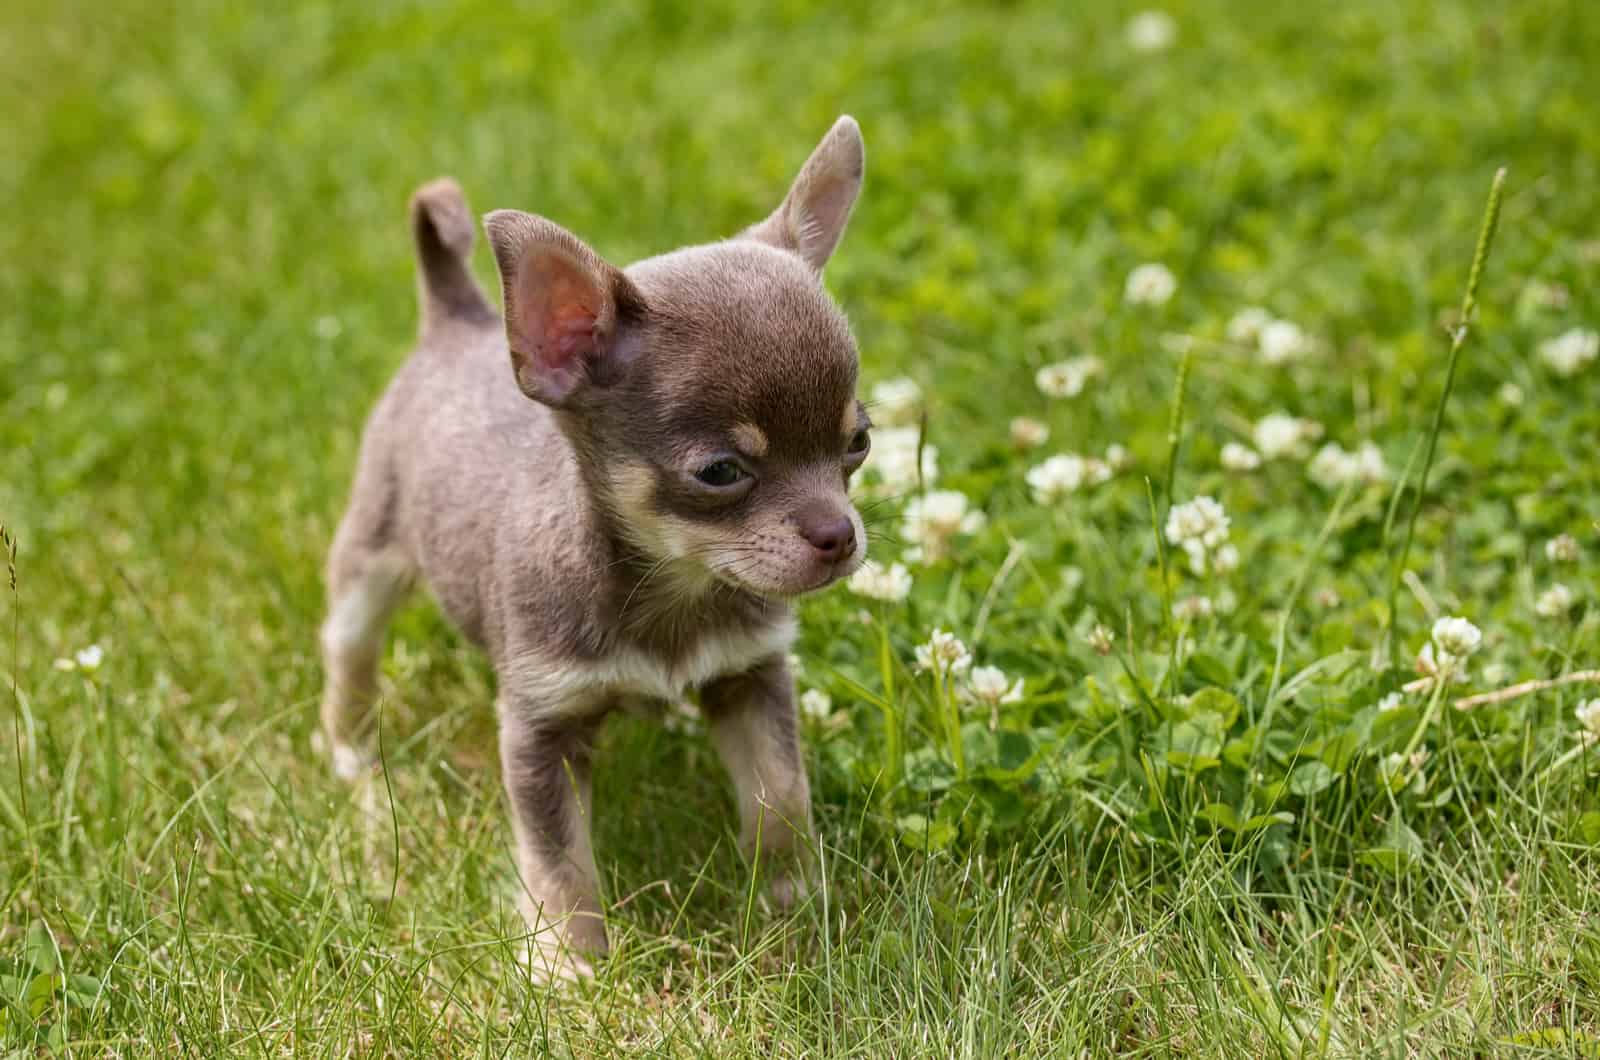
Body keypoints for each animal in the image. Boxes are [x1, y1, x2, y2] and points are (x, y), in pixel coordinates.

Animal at [318, 116, 870, 979]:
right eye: (721, 472)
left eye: (858, 443)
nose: (840, 535)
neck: (672, 585)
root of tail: (460, 318)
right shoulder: (540, 730)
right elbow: (560, 857)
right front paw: (569, 963)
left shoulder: (749, 677)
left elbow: (781, 793)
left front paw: (792, 902)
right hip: (369, 557)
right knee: (347, 647)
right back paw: (349, 753)